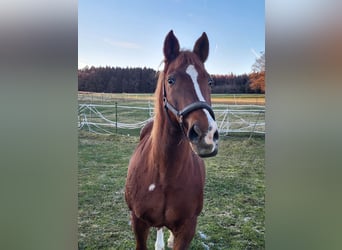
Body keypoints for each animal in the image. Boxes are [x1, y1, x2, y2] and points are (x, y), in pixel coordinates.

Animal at [125, 30, 219, 249]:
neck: (164, 174)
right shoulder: (138, 222)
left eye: (210, 81)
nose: (207, 134)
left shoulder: (187, 228)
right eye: (171, 80)